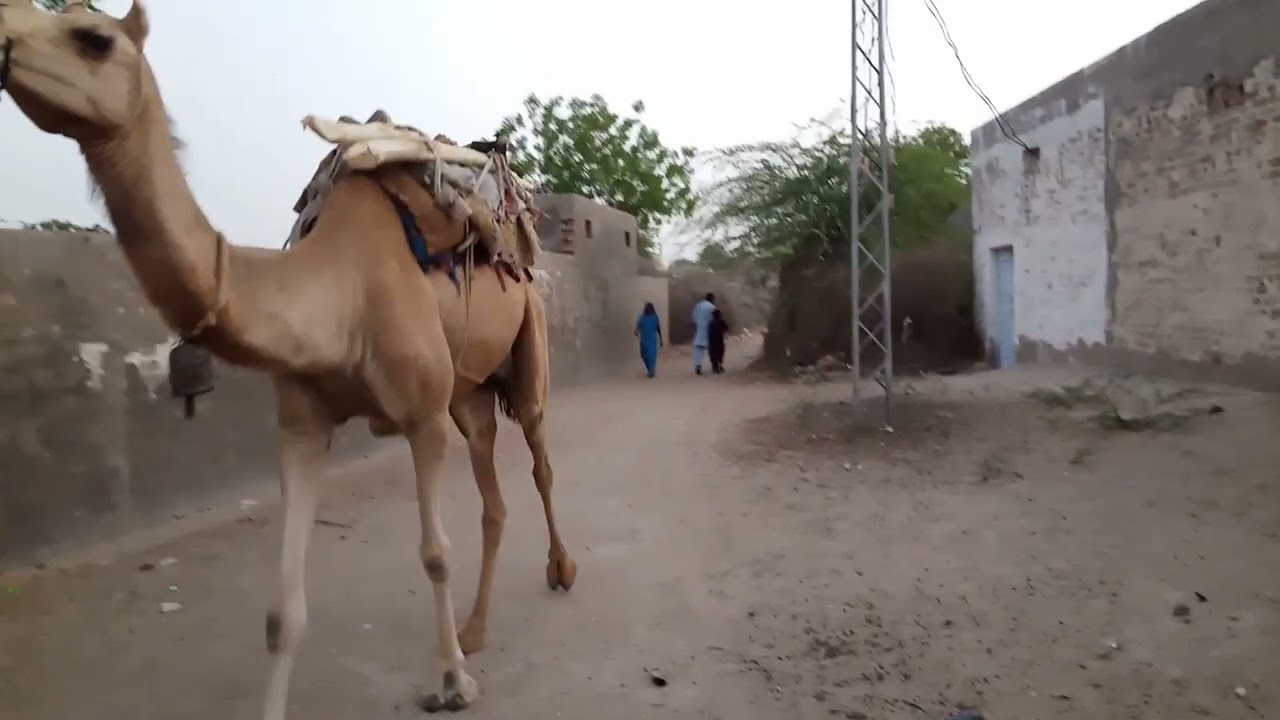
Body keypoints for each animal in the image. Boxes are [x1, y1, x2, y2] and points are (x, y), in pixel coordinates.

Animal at [0, 1, 577, 716]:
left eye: (94, 38)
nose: (4, 41)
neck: (338, 287)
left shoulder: (420, 414)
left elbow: (435, 553)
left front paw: (452, 683)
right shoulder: (303, 423)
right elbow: (282, 613)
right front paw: (451, 664)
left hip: (527, 342)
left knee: (540, 456)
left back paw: (560, 570)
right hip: (469, 389)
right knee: (491, 491)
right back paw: (474, 629)